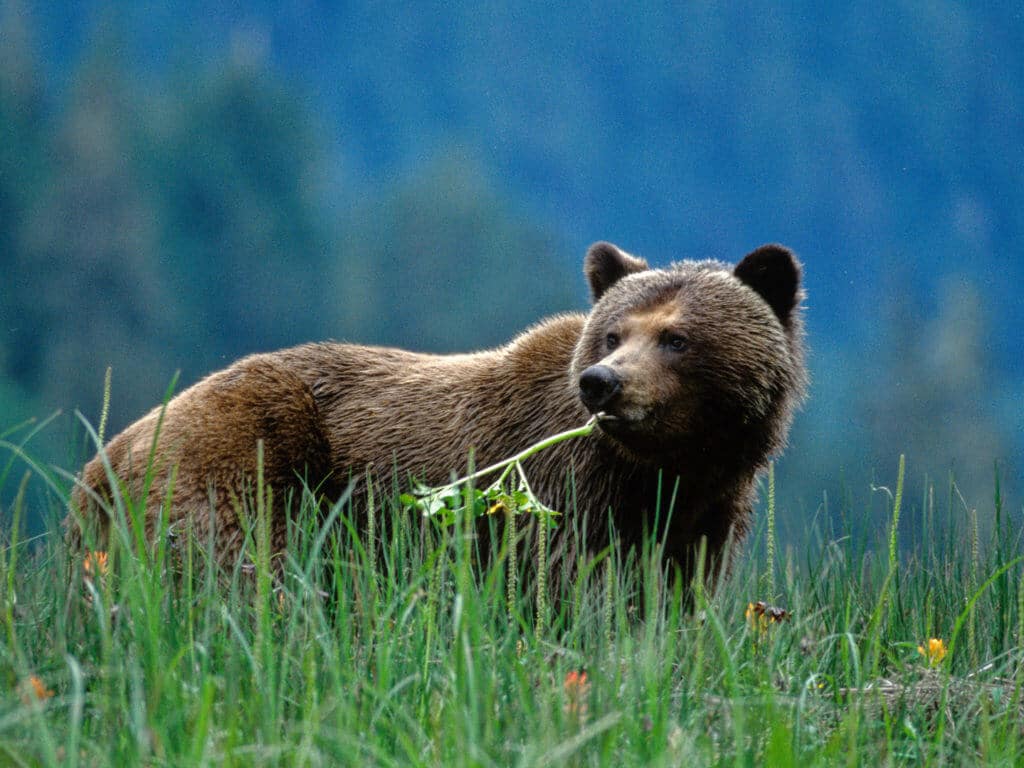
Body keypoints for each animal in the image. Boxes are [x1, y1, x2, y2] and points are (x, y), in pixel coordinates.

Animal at [69, 241, 806, 585]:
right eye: (613, 333)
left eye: (677, 338)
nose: (603, 383)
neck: (666, 469)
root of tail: (106, 457)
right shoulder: (563, 496)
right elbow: (568, 591)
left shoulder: (702, 516)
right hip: (246, 453)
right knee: (241, 568)